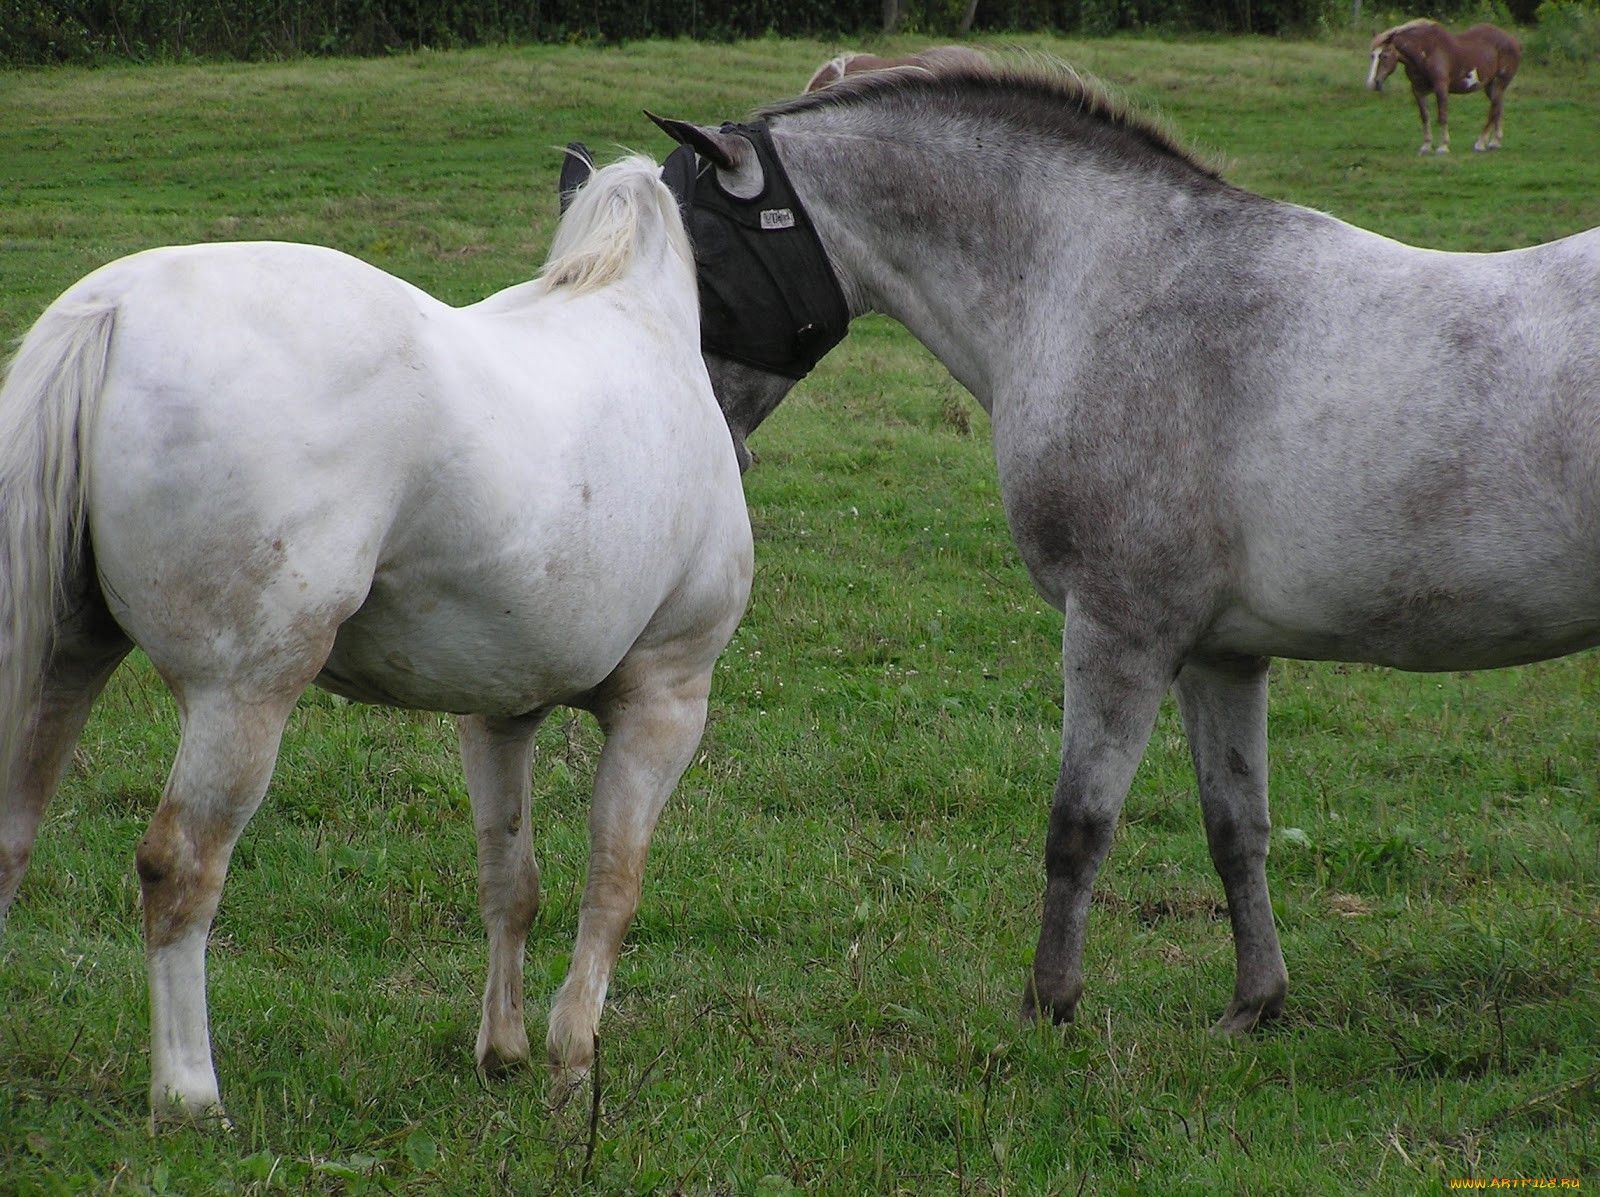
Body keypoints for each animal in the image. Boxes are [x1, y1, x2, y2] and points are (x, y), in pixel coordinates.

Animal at [0, 152, 752, 1120]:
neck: (637, 314)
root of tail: (115, 306)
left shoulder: (499, 711)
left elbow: (511, 882)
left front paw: (503, 1049)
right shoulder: (667, 699)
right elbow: (613, 885)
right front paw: (573, 1059)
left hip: (63, 661)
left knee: (12, 833)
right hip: (241, 695)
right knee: (182, 866)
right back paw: (190, 1090)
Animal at [592, 56, 1600, 1030]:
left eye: (697, 257)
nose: (694, 430)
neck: (1117, 289)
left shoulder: (1120, 629)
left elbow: (1078, 826)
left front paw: (1049, 1004)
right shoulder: (1222, 654)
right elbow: (1237, 827)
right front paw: (1255, 1003)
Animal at [1369, 19, 1516, 154]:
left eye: (1384, 56)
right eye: (1372, 55)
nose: (1372, 83)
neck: (1426, 51)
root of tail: (1513, 40)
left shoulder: (1441, 88)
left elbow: (1442, 115)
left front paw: (1443, 147)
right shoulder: (1418, 90)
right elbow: (1425, 116)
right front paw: (1426, 146)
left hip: (1501, 82)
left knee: (1493, 110)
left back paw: (1480, 144)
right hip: (1490, 85)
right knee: (1498, 109)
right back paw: (1495, 143)